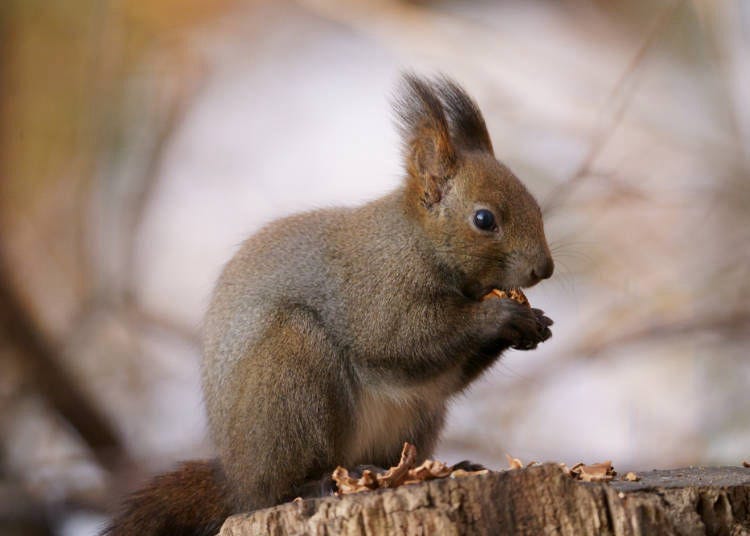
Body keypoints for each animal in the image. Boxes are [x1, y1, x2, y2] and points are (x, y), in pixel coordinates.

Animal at [104, 73, 552, 532]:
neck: (416, 241)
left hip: (418, 418)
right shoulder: (375, 294)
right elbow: (402, 342)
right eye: (484, 219)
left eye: (536, 206)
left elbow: (446, 374)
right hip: (292, 371)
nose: (544, 269)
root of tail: (237, 483)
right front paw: (500, 316)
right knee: (278, 486)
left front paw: (534, 323)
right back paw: (313, 483)